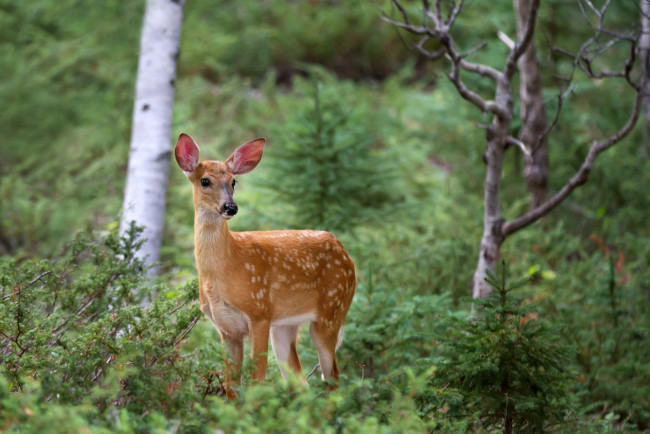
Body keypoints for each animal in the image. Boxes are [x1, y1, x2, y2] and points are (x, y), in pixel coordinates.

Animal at [173, 133, 354, 394]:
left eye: (234, 181)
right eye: (205, 181)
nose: (231, 207)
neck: (224, 270)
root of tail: (345, 253)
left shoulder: (259, 313)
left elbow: (256, 382)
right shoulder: (226, 328)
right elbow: (231, 388)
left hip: (332, 310)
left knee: (332, 377)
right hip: (285, 326)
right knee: (301, 382)